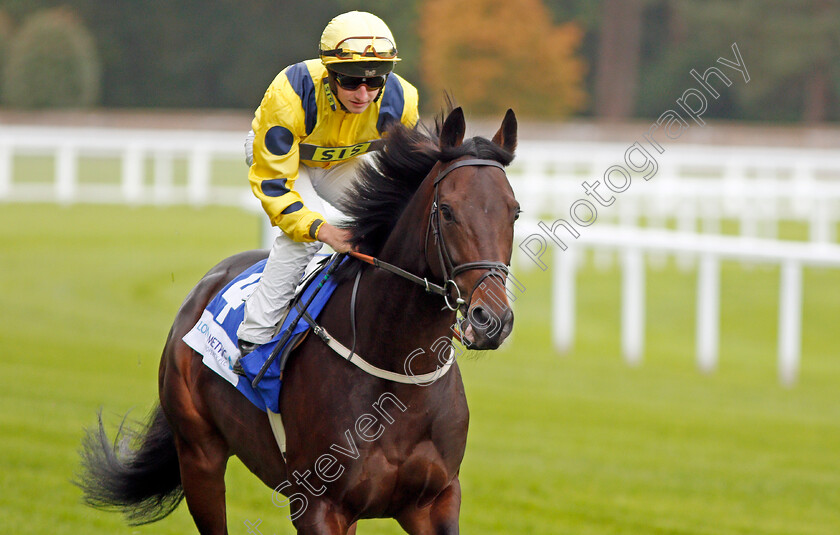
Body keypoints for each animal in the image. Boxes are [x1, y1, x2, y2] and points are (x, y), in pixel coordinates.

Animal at [77, 107, 520, 532]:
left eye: (514, 212)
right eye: (447, 211)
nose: (490, 319)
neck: (398, 373)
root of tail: (206, 283)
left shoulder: (434, 501)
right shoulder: (320, 505)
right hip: (199, 455)